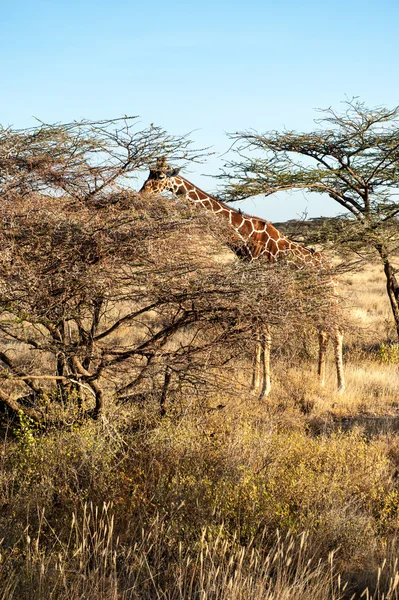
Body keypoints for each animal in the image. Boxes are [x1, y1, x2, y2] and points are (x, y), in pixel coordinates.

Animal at [139, 158, 346, 398]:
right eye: (148, 173)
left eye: (161, 176)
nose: (142, 193)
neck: (245, 238)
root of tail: (331, 271)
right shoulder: (251, 289)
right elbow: (256, 334)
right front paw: (252, 386)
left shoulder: (264, 289)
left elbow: (265, 335)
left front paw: (265, 390)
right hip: (312, 299)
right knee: (323, 332)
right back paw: (319, 381)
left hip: (328, 297)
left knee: (336, 332)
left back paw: (340, 386)